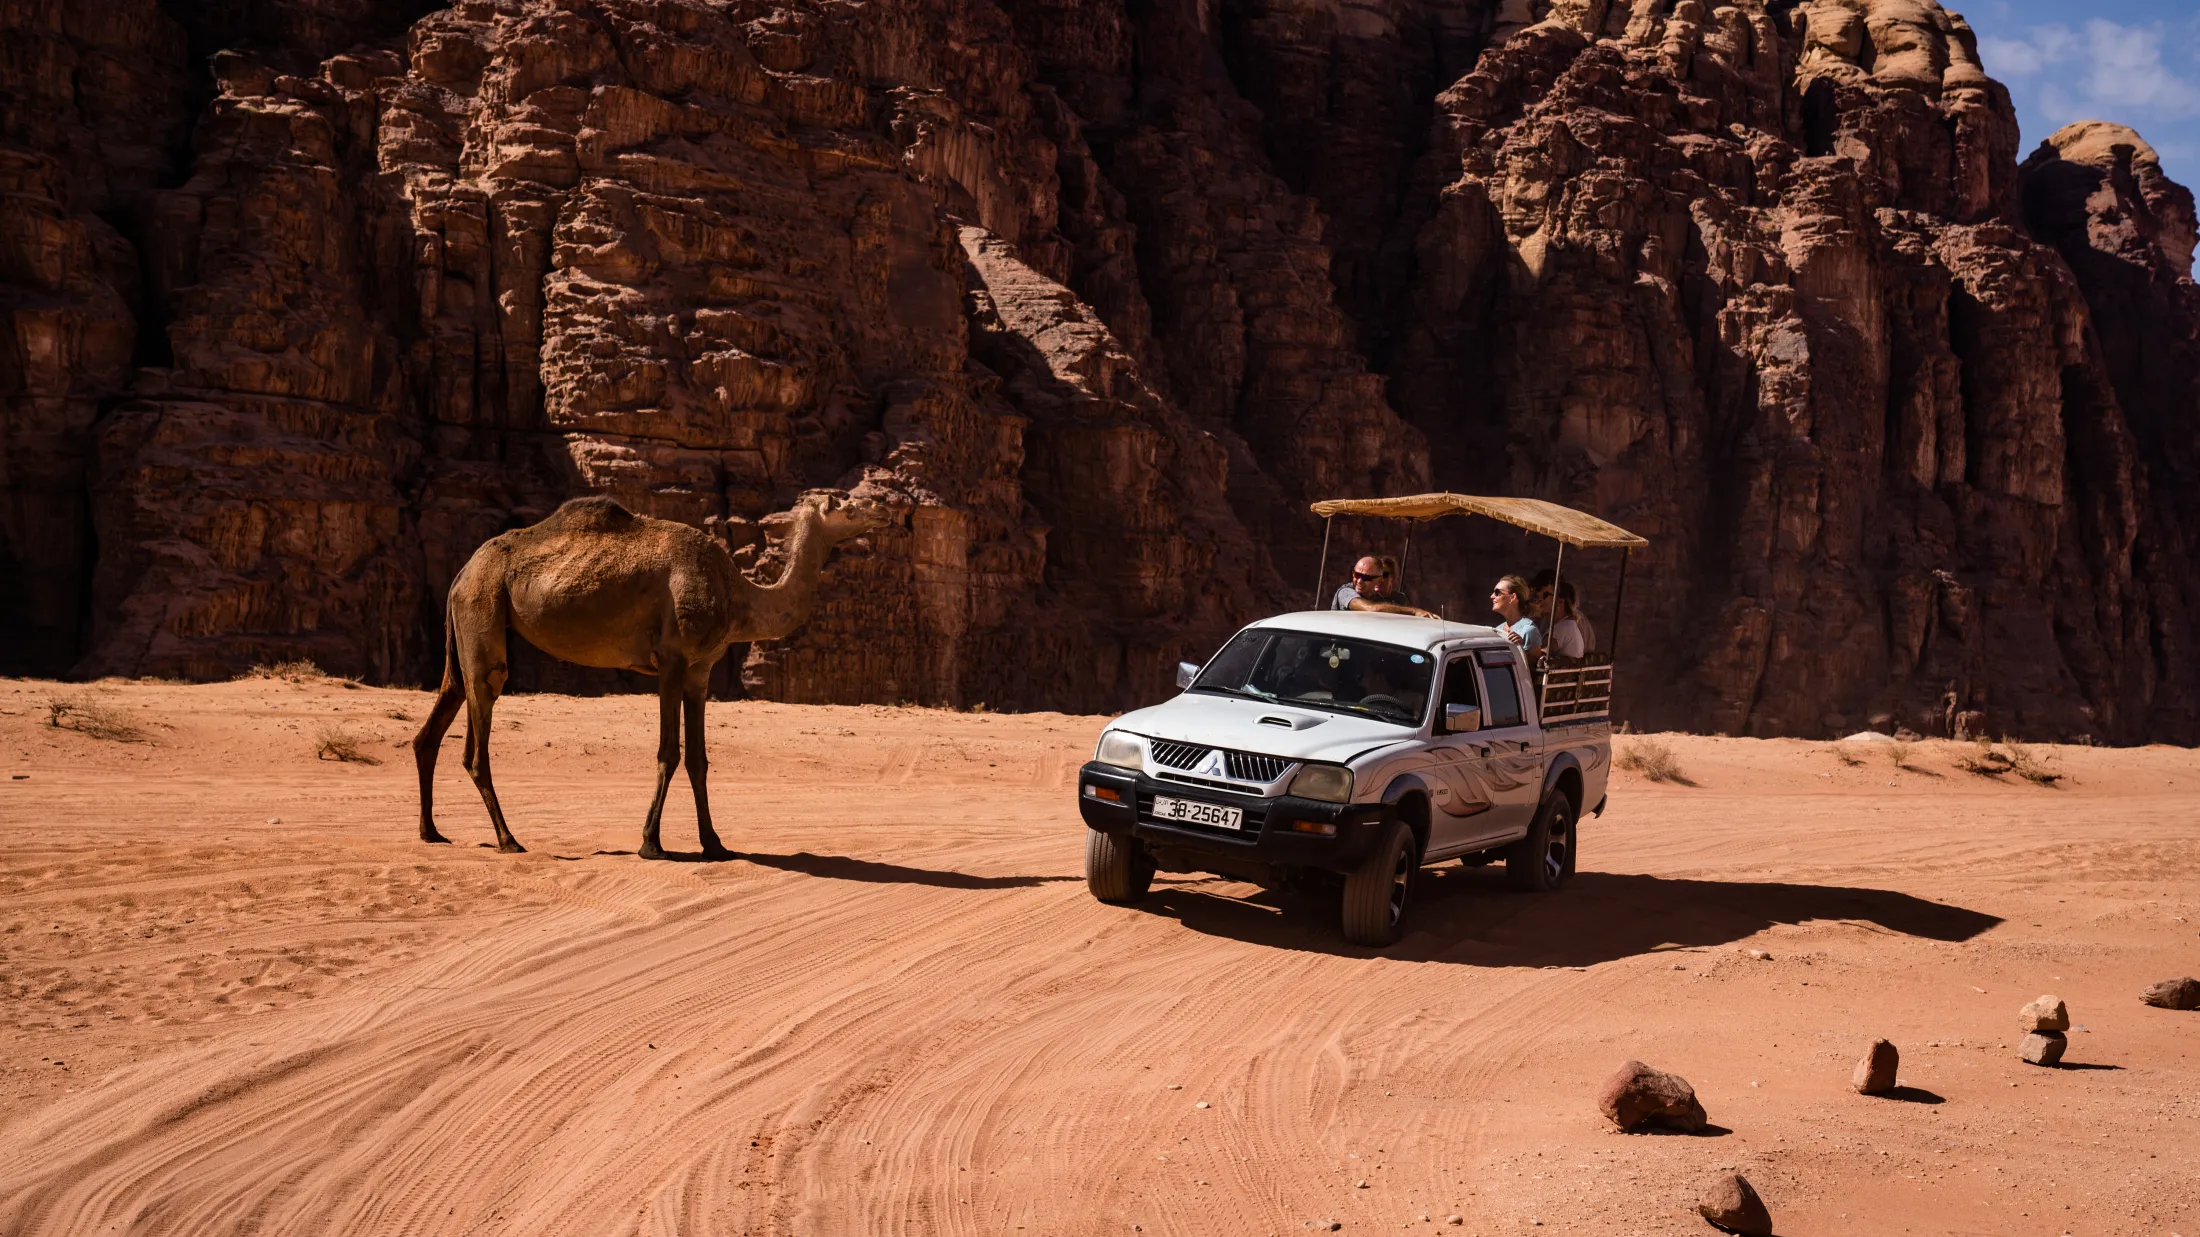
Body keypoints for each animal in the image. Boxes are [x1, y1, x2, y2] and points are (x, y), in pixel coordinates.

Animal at [413, 491, 889, 859]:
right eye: (849, 505)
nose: (884, 509)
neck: (737, 595)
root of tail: (462, 572)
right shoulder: (672, 660)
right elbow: (668, 753)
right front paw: (651, 844)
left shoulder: (700, 671)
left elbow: (698, 759)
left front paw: (715, 844)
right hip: (483, 610)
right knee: (480, 725)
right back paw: (509, 840)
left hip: (467, 628)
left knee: (435, 722)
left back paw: (431, 832)